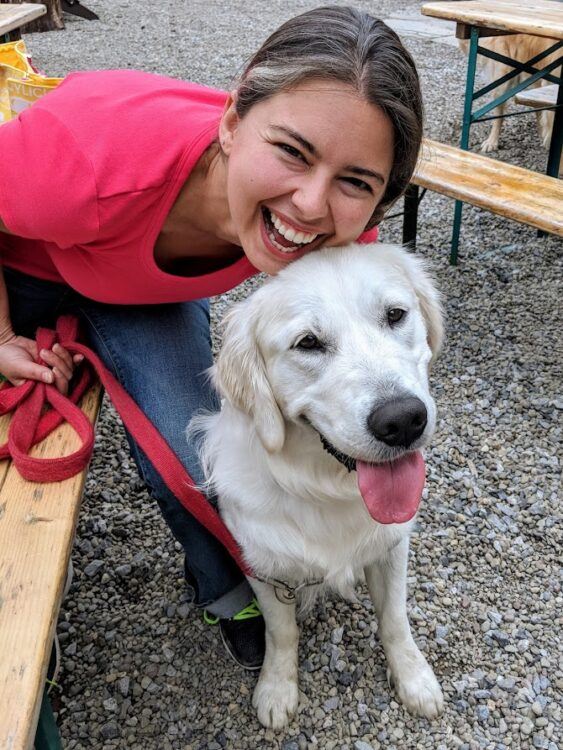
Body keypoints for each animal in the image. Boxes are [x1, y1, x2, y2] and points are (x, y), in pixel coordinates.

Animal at [194, 245, 446, 728]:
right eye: (308, 343)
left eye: (395, 315)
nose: (403, 419)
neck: (330, 488)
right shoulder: (262, 564)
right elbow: (282, 631)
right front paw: (277, 689)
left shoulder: (392, 546)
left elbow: (395, 618)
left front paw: (414, 679)